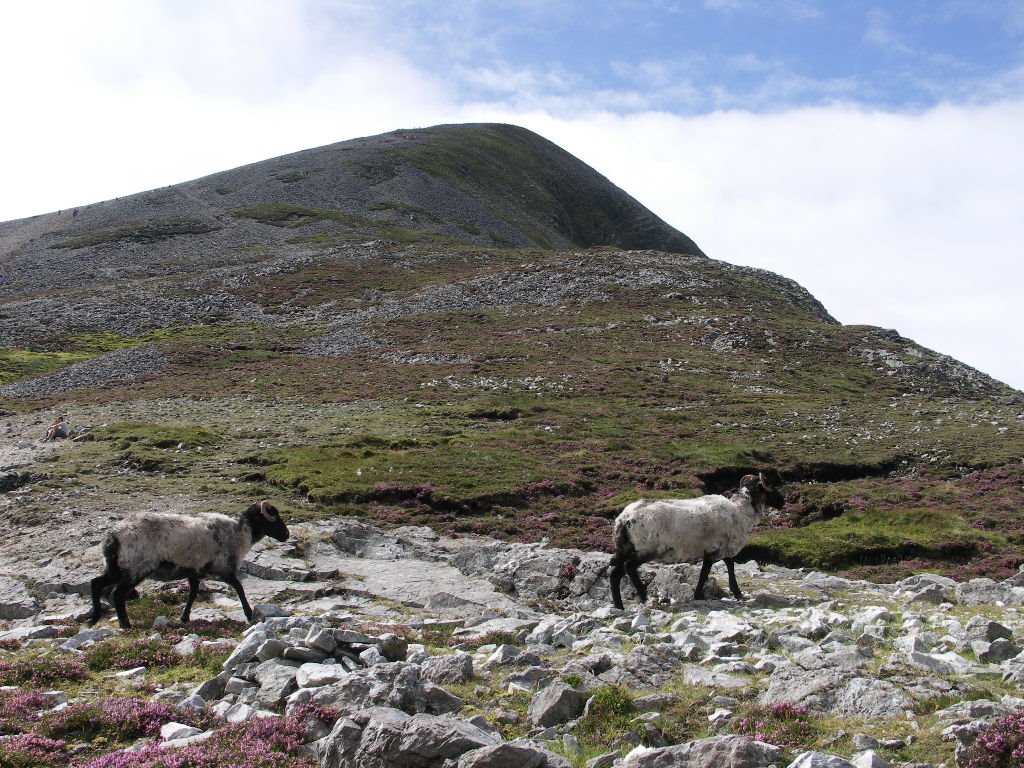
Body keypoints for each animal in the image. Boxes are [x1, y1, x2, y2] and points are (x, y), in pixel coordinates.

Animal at [89, 499, 288, 630]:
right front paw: (249, 614)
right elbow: (239, 587)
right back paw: (125, 624)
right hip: (136, 569)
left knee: (96, 583)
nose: (286, 534)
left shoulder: (194, 571)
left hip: (117, 568)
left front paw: (184, 617)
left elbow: (193, 593)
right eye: (274, 516)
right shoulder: (223, 568)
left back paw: (94, 619)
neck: (240, 532)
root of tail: (113, 536)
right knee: (117, 594)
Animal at [606, 473, 782, 610]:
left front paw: (733, 593)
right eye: (771, 486)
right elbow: (710, 572)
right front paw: (701, 595)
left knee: (615, 573)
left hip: (625, 547)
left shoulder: (719, 549)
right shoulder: (715, 550)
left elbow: (724, 566)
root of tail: (624, 519)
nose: (783, 501)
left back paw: (619, 606)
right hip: (648, 548)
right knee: (629, 566)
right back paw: (643, 595)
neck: (739, 512)